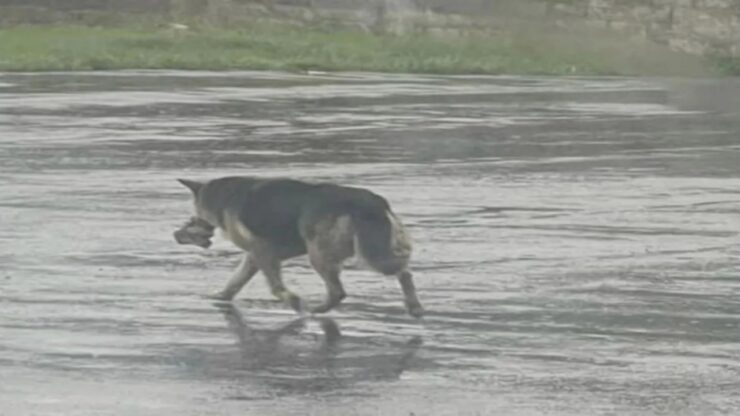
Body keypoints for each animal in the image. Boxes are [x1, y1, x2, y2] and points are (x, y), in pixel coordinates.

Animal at [172, 176, 422, 318]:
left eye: (194, 216)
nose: (177, 235)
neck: (223, 197)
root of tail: (370, 203)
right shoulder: (257, 256)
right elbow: (235, 282)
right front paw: (220, 298)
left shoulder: (262, 252)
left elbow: (275, 286)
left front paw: (293, 301)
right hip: (372, 250)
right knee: (404, 272)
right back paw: (414, 307)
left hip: (323, 255)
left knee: (339, 291)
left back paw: (315, 311)